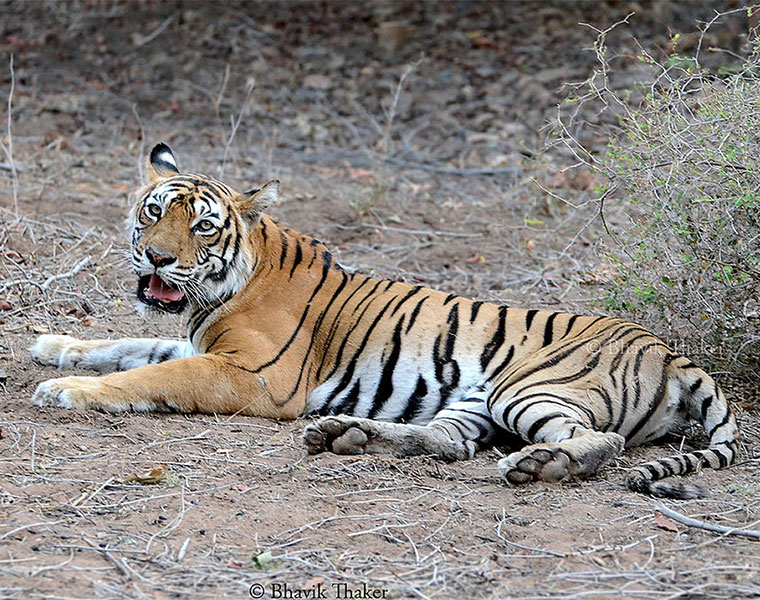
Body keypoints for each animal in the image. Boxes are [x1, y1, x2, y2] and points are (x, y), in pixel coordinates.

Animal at [32, 142, 740, 496]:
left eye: (201, 226)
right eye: (153, 212)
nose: (157, 256)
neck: (216, 293)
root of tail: (669, 351)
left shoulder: (255, 377)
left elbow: (148, 376)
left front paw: (66, 389)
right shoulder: (201, 345)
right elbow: (129, 345)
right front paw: (56, 347)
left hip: (528, 387)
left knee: (601, 443)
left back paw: (541, 467)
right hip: (477, 399)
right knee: (445, 441)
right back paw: (345, 436)